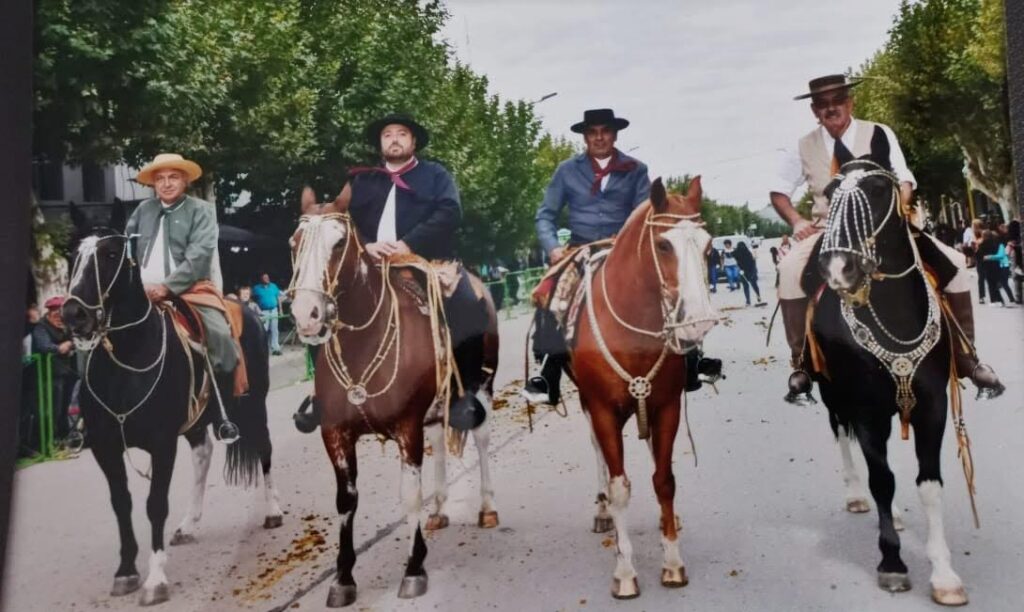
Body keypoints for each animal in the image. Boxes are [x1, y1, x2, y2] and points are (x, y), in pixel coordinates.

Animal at [61, 229, 283, 606]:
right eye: (75, 257)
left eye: (110, 255)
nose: (73, 313)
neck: (126, 363)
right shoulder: (106, 448)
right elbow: (121, 503)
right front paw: (126, 571)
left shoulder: (162, 443)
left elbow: (155, 505)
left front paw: (156, 580)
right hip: (197, 419)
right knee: (203, 454)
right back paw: (189, 524)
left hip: (253, 405)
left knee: (263, 449)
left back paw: (272, 511)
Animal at [288, 187, 500, 608]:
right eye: (294, 243)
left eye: (339, 243)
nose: (307, 314)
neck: (362, 344)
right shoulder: (335, 433)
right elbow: (346, 501)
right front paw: (343, 577)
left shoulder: (406, 427)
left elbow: (410, 496)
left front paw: (414, 568)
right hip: (434, 412)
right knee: (440, 442)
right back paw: (440, 509)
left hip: (482, 388)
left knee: (482, 439)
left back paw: (486, 508)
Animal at [568, 177, 718, 599]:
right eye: (664, 245)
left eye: (709, 246)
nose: (698, 322)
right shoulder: (602, 410)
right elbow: (620, 486)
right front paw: (624, 572)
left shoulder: (666, 405)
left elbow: (664, 481)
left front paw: (673, 563)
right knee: (599, 456)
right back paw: (602, 511)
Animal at [806, 153, 969, 606]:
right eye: (830, 193)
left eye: (879, 189)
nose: (837, 267)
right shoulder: (865, 407)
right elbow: (881, 479)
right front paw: (893, 563)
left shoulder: (932, 404)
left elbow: (928, 483)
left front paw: (944, 574)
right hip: (832, 393)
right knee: (842, 436)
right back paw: (855, 495)